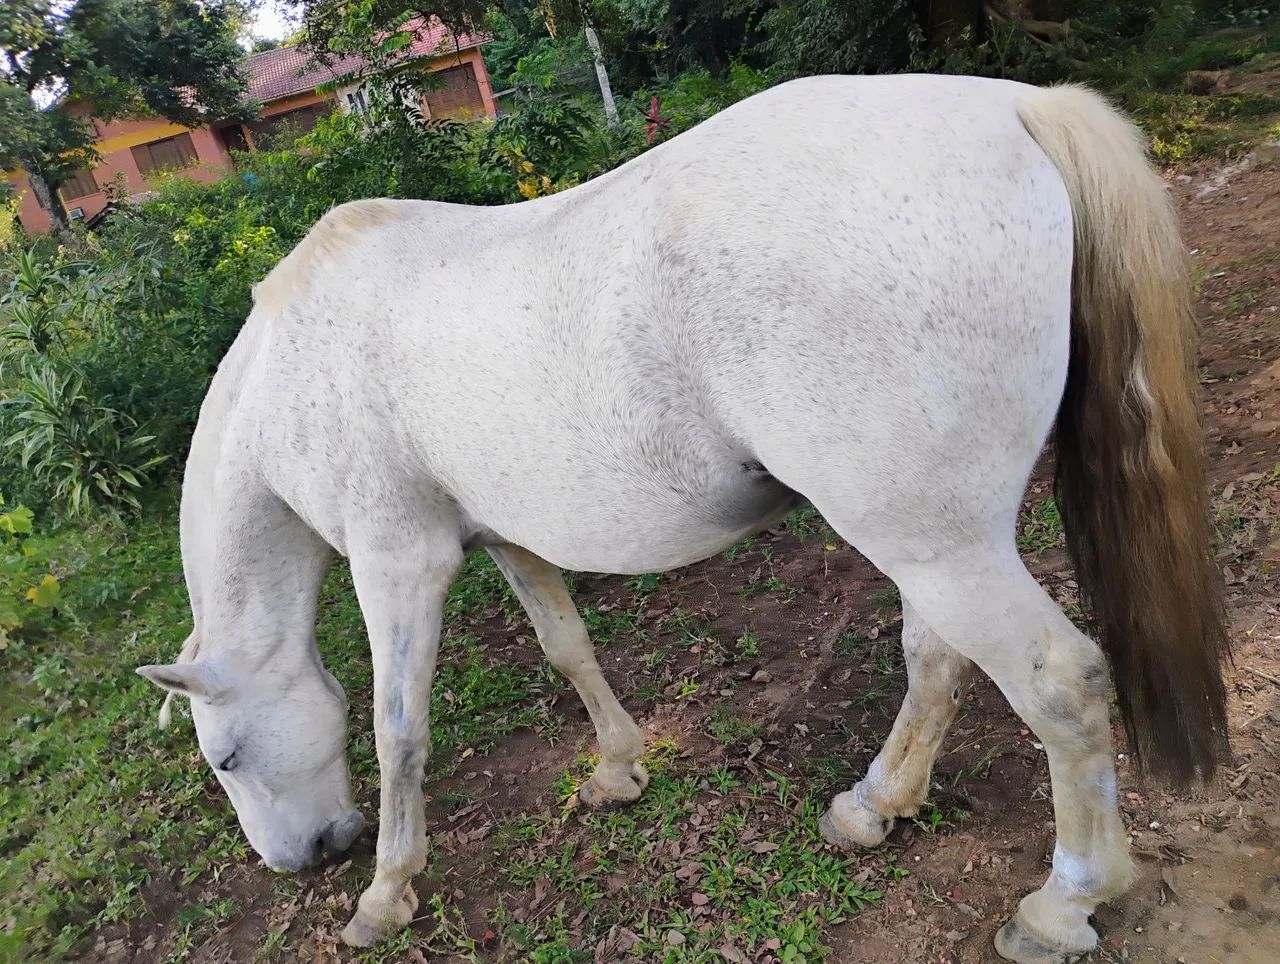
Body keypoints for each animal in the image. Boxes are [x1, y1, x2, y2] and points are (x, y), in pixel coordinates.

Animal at [137, 73, 1229, 962]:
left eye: (225, 756)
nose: (306, 857)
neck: (294, 366)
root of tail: (1015, 107)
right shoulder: (505, 539)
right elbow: (566, 645)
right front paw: (618, 768)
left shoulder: (397, 563)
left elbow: (397, 725)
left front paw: (385, 893)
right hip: (935, 543)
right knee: (937, 657)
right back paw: (873, 806)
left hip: (939, 546)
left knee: (1060, 684)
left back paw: (1061, 906)